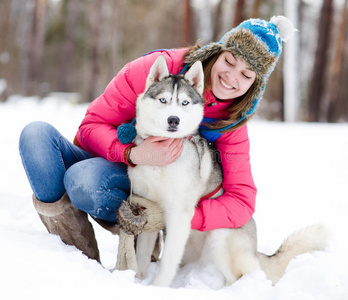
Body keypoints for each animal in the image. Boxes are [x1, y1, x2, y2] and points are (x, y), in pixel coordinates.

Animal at [128, 55, 328, 288]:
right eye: (163, 100)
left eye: (184, 103)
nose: (173, 120)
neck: (160, 159)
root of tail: (254, 249)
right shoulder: (148, 208)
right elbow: (141, 253)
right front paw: (137, 280)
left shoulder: (179, 214)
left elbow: (168, 260)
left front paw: (158, 287)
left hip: (221, 237)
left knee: (237, 277)